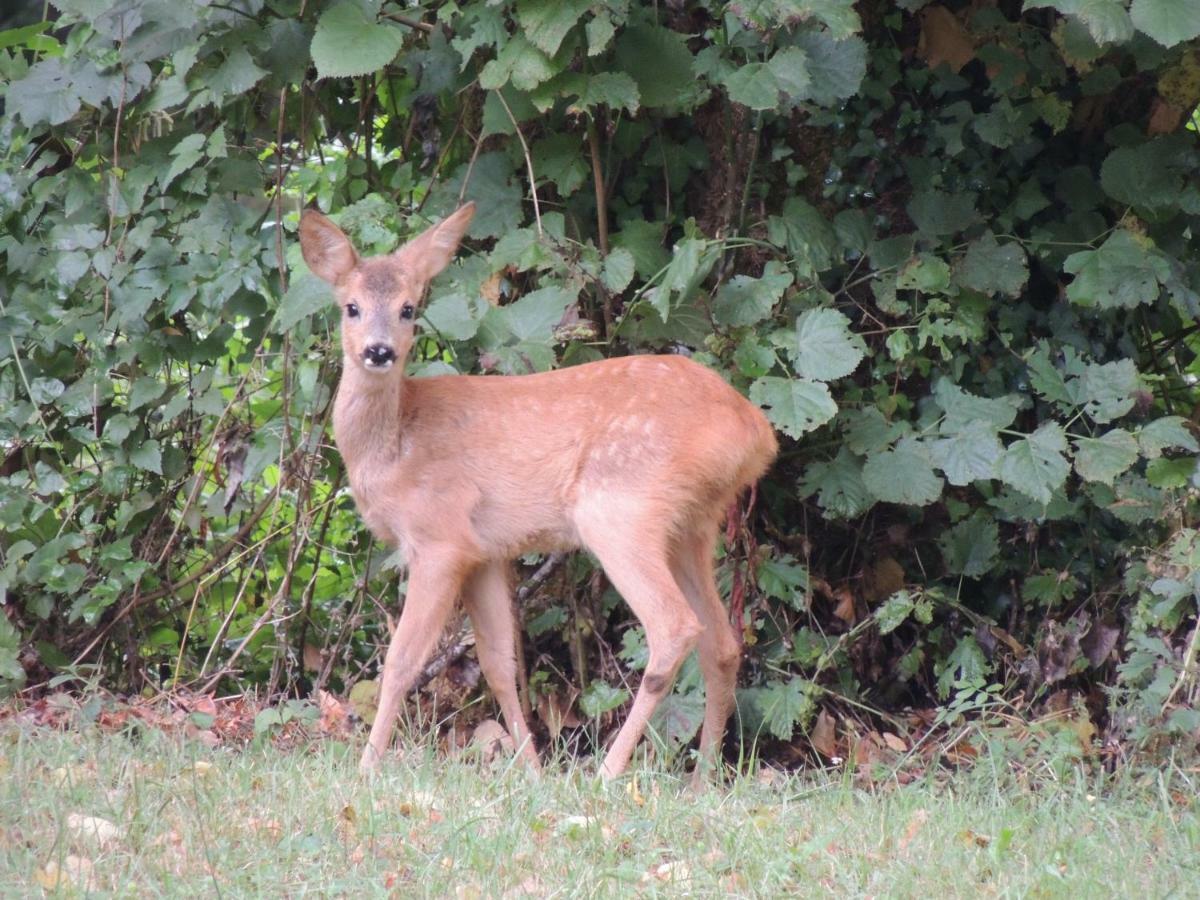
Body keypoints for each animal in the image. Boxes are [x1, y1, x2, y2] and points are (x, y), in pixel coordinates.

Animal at [300, 202, 777, 782]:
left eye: (408, 308)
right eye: (351, 307)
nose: (378, 351)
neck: (395, 444)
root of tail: (756, 431)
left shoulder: (440, 538)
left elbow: (401, 660)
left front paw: (367, 768)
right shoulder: (483, 552)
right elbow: (499, 665)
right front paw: (531, 770)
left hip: (620, 509)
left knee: (674, 628)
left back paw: (608, 773)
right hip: (693, 526)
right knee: (723, 645)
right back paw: (702, 779)